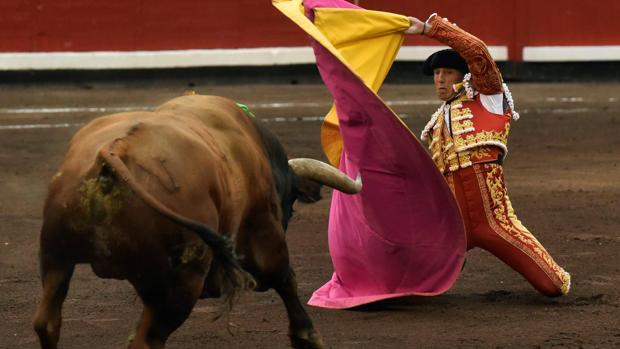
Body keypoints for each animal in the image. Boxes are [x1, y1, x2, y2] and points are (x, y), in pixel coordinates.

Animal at [34, 94, 360, 346]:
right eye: (289, 203)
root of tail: (115, 152)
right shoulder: (265, 231)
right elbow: (285, 278)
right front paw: (308, 337)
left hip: (56, 257)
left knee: (47, 323)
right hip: (182, 280)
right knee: (146, 340)